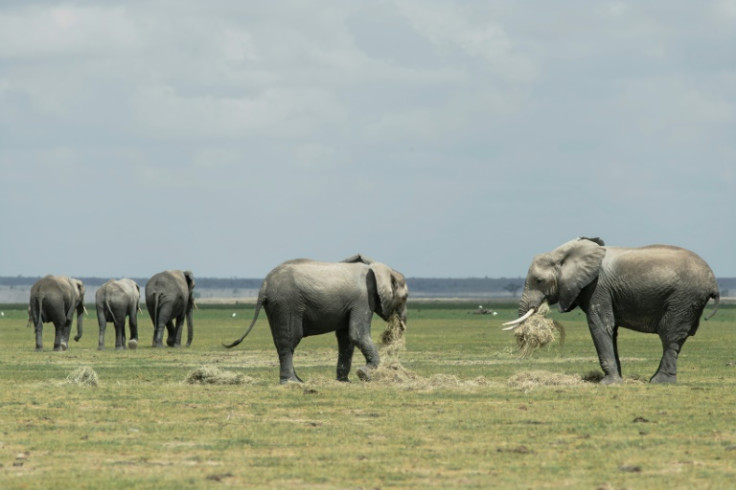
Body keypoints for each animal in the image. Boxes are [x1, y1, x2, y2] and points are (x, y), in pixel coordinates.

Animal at [224, 255, 408, 384]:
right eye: (406, 297)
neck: (377, 266)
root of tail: (265, 284)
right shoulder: (362, 300)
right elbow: (357, 334)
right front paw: (364, 374)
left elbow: (346, 338)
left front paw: (345, 382)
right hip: (287, 304)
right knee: (290, 340)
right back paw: (292, 382)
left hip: (276, 306)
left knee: (282, 341)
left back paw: (297, 380)